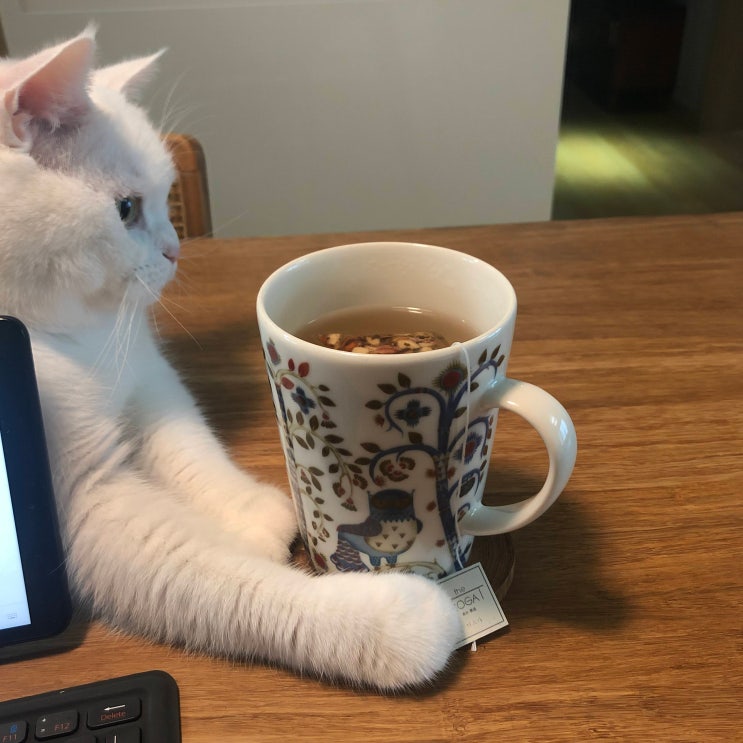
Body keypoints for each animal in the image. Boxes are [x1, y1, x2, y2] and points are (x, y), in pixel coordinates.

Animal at [0, 29, 462, 689]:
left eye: (165, 198)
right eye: (126, 209)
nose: (174, 250)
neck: (76, 337)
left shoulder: (148, 379)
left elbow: (192, 451)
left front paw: (250, 516)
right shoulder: (82, 504)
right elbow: (227, 580)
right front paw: (394, 622)